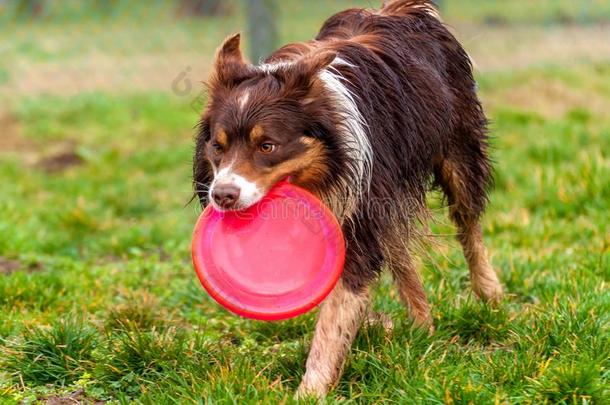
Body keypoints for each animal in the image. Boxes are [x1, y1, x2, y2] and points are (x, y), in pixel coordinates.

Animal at [192, 0, 502, 396]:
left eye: (267, 146)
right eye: (218, 146)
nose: (222, 195)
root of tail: (403, 8)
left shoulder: (361, 209)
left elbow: (335, 316)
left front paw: (310, 391)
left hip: (456, 152)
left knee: (468, 224)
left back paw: (490, 294)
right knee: (399, 251)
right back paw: (422, 325)